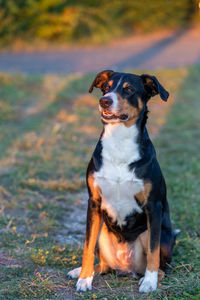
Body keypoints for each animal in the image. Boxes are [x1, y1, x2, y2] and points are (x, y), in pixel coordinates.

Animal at [67, 69, 178, 292]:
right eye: (106, 87)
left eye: (129, 90)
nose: (104, 101)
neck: (119, 142)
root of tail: (126, 269)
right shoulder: (94, 203)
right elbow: (87, 246)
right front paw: (84, 278)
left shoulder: (153, 206)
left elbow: (153, 252)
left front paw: (149, 282)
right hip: (102, 232)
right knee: (103, 264)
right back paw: (82, 271)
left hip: (160, 235)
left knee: (161, 266)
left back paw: (147, 278)